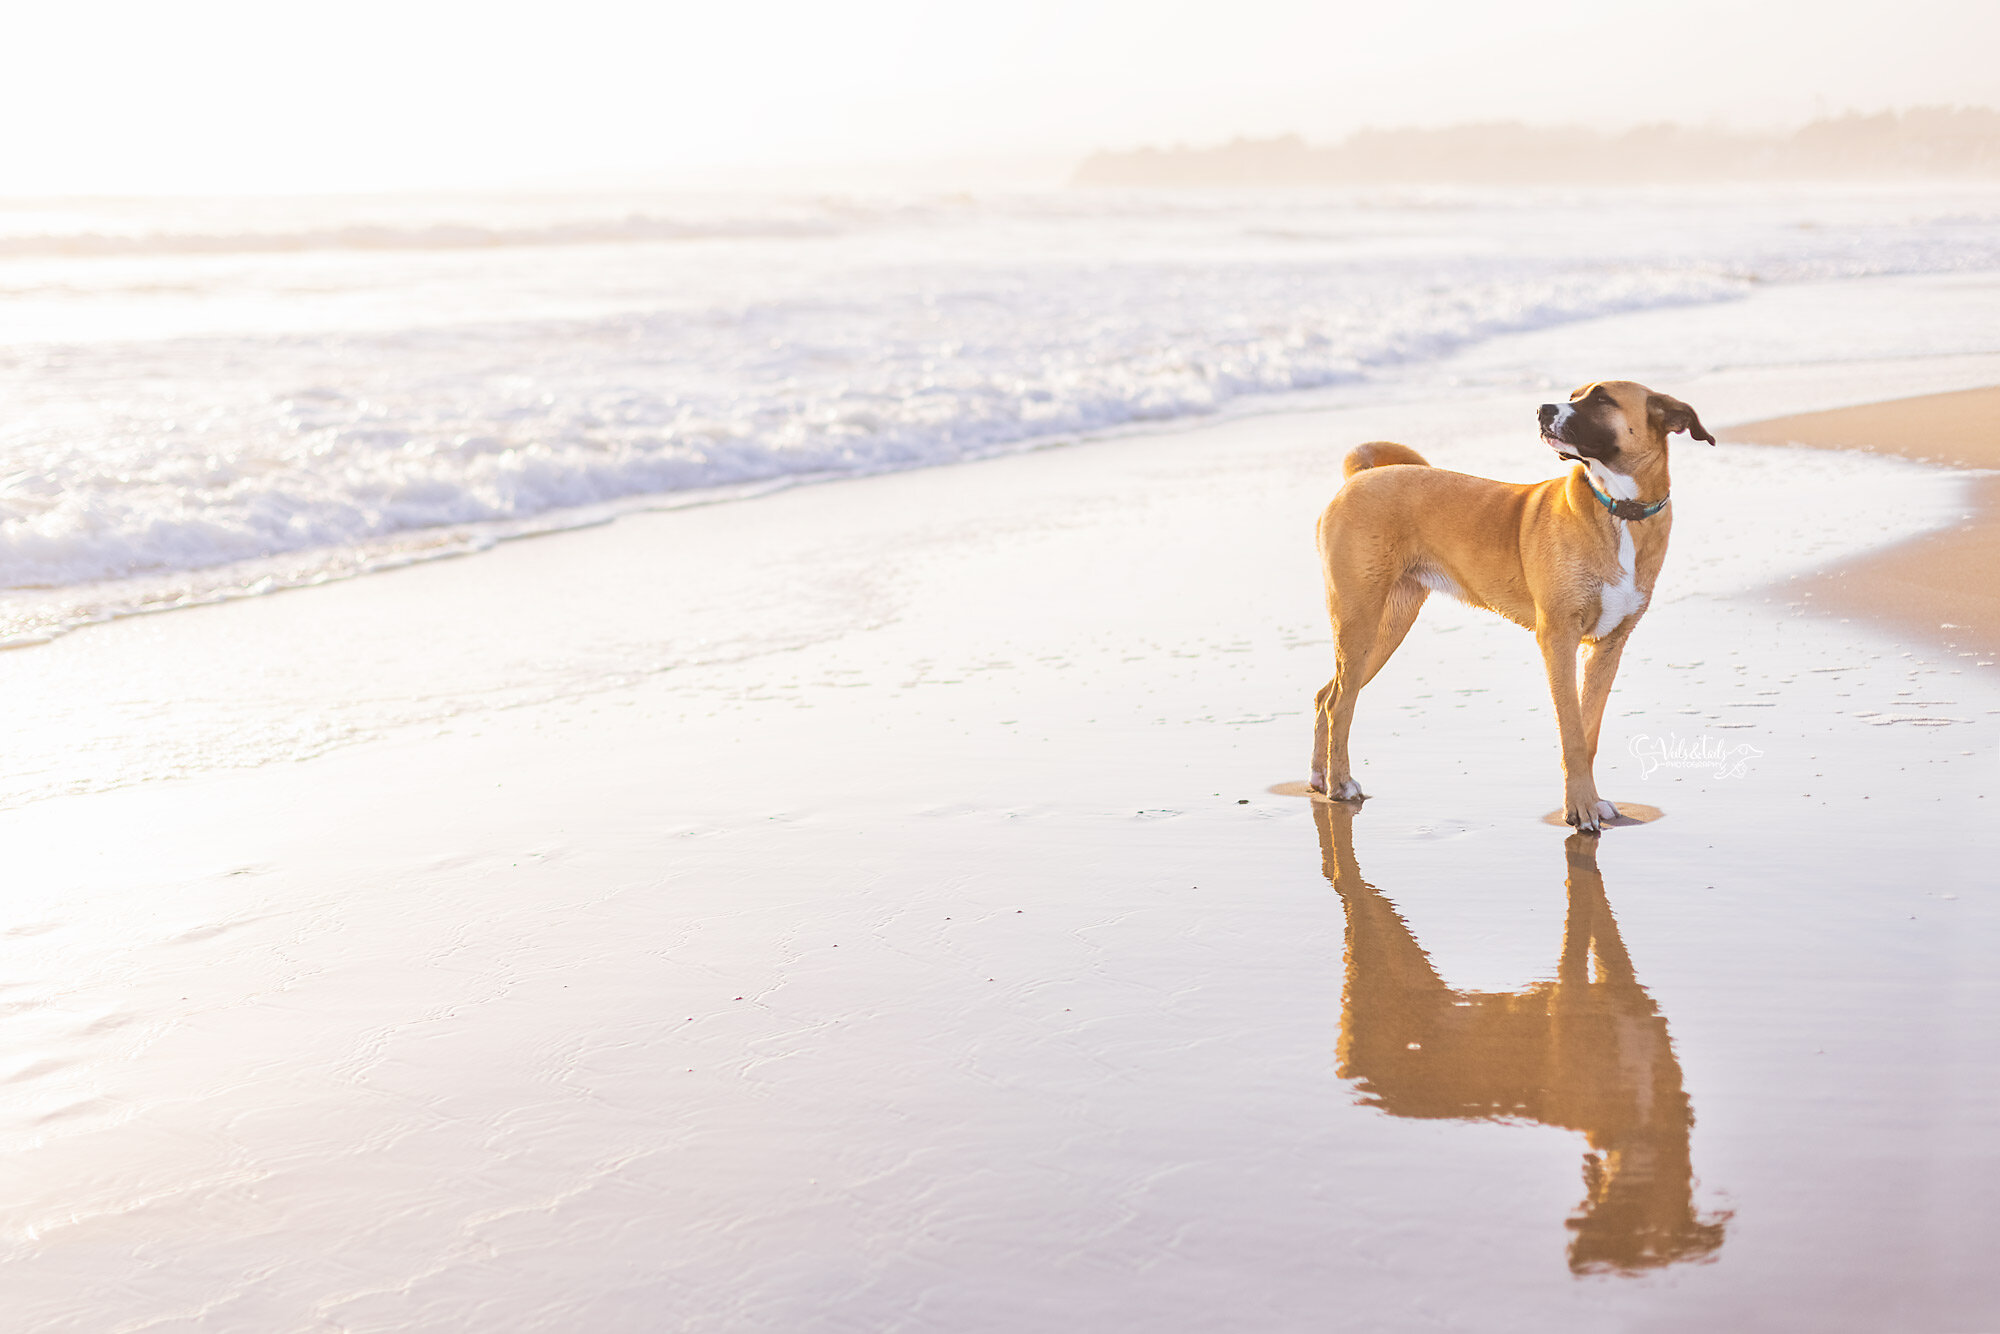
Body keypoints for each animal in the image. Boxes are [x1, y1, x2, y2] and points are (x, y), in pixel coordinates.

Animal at [1304, 380, 1712, 828]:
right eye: (1575, 394)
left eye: (1602, 399)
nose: (1542, 409)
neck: (1619, 509)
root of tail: (1360, 478)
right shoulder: (1558, 639)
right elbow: (1572, 731)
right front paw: (1581, 807)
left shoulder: (1608, 646)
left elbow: (1588, 731)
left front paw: (1589, 801)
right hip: (1359, 619)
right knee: (1340, 703)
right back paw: (1339, 783)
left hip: (1388, 625)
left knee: (1327, 695)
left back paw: (1320, 778)